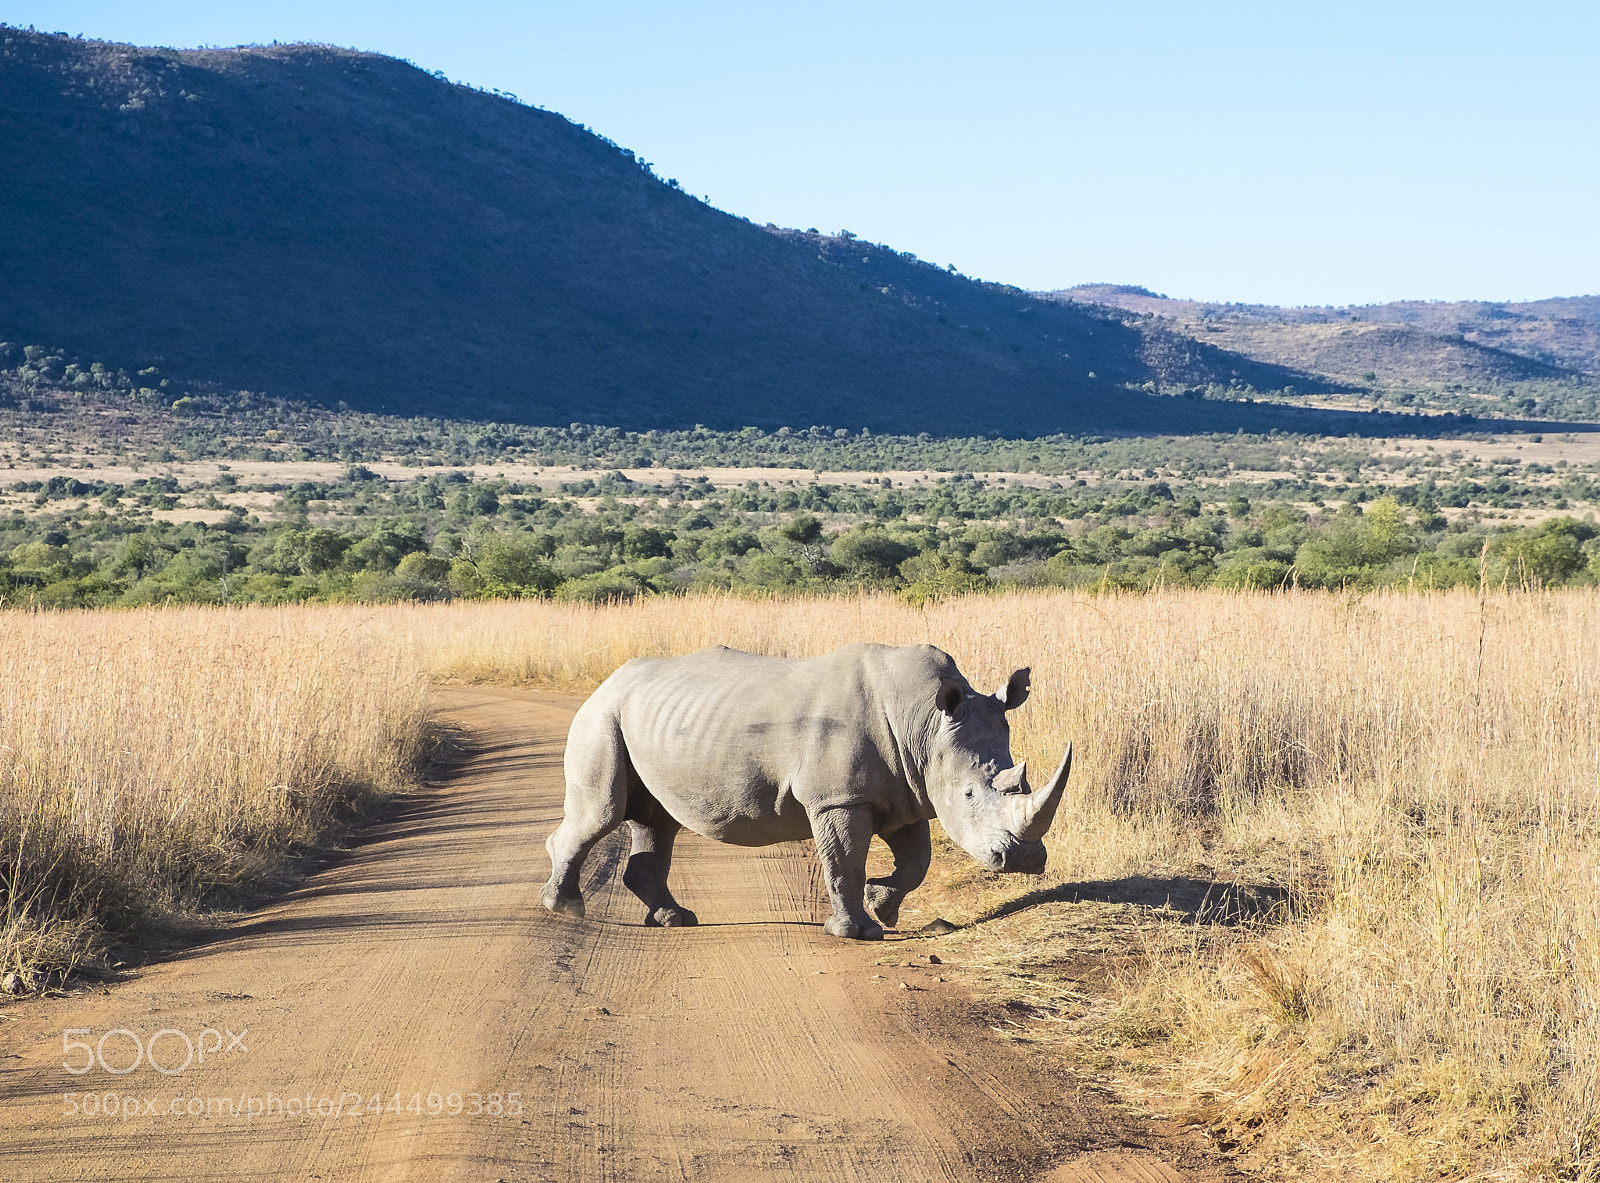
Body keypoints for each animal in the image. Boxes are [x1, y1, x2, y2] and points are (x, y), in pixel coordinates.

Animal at [541, 642, 1072, 940]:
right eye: (968, 796)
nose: (1023, 861)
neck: (923, 723)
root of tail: (607, 680)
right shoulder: (839, 797)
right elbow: (844, 860)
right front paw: (858, 932)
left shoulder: (906, 792)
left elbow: (916, 862)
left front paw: (883, 906)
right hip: (601, 717)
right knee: (603, 814)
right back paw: (564, 909)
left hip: (645, 717)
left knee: (656, 820)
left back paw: (675, 919)